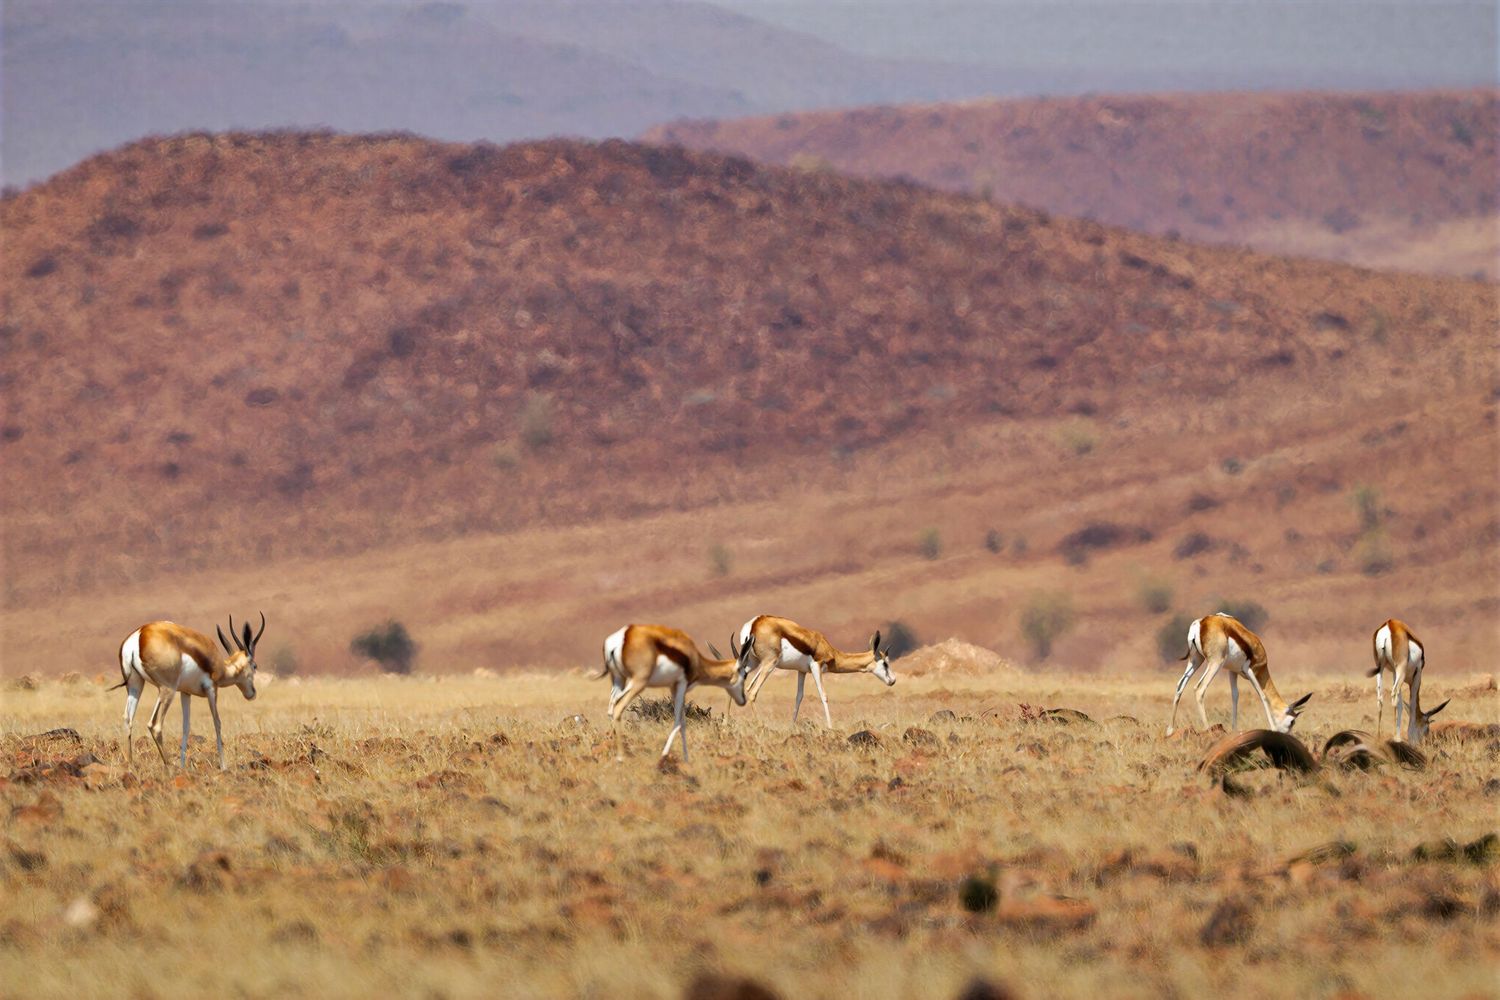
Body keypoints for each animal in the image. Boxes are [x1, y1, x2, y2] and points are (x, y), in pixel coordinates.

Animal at [114, 615, 263, 770]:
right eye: (255, 666)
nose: (252, 693)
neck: (219, 665)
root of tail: (140, 634)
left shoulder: (185, 693)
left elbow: (186, 726)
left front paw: (183, 765)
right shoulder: (212, 690)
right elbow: (217, 722)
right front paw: (223, 766)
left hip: (136, 685)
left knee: (128, 719)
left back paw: (131, 765)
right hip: (167, 689)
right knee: (154, 725)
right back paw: (169, 766)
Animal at [601, 624, 749, 762]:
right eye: (743, 674)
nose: (743, 699)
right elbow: (680, 722)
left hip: (621, 679)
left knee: (612, 703)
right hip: (636, 682)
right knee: (617, 705)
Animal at [737, 615, 896, 728]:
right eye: (885, 663)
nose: (893, 680)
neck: (829, 649)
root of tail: (755, 623)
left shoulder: (801, 671)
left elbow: (798, 697)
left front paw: (792, 726)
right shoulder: (816, 666)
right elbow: (823, 695)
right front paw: (830, 727)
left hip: (751, 663)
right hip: (769, 664)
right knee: (752, 692)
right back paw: (761, 725)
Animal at [1166, 612, 1311, 737]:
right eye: (1292, 722)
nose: (1287, 736)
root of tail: (1201, 622)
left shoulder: (1232, 671)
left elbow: (1235, 696)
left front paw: (1234, 729)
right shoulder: (1250, 671)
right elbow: (1263, 696)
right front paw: (1273, 728)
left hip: (1196, 660)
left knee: (1180, 685)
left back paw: (1170, 730)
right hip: (1215, 663)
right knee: (1199, 688)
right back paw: (1208, 730)